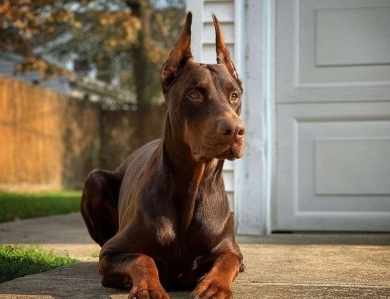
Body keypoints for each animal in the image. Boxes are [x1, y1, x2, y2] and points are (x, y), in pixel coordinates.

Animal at [80, 12, 245, 299]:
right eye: (194, 94)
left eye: (234, 95)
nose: (234, 130)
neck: (191, 188)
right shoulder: (112, 252)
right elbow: (142, 258)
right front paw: (148, 287)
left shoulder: (229, 249)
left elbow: (228, 260)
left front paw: (213, 286)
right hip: (95, 179)